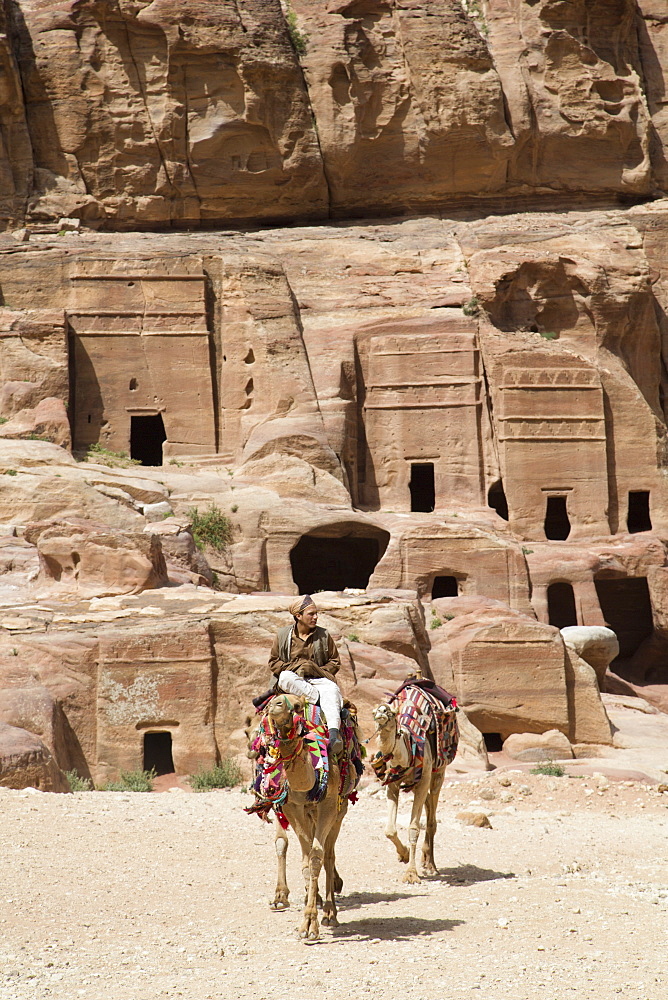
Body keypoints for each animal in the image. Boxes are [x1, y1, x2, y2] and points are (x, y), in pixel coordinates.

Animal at [247, 696, 350, 936]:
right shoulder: (290, 807)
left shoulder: (328, 806)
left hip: (339, 811)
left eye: (296, 706)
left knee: (329, 854)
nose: (276, 705)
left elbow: (316, 857)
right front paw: (282, 897)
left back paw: (330, 911)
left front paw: (310, 924)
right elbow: (294, 852)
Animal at [368, 688, 456, 884]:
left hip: (438, 772)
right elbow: (389, 830)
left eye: (391, 713)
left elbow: (414, 828)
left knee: (431, 817)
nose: (381, 712)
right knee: (428, 805)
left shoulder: (423, 780)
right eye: (374, 711)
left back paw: (431, 866)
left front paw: (411, 873)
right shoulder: (392, 784)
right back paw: (425, 860)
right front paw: (404, 855)